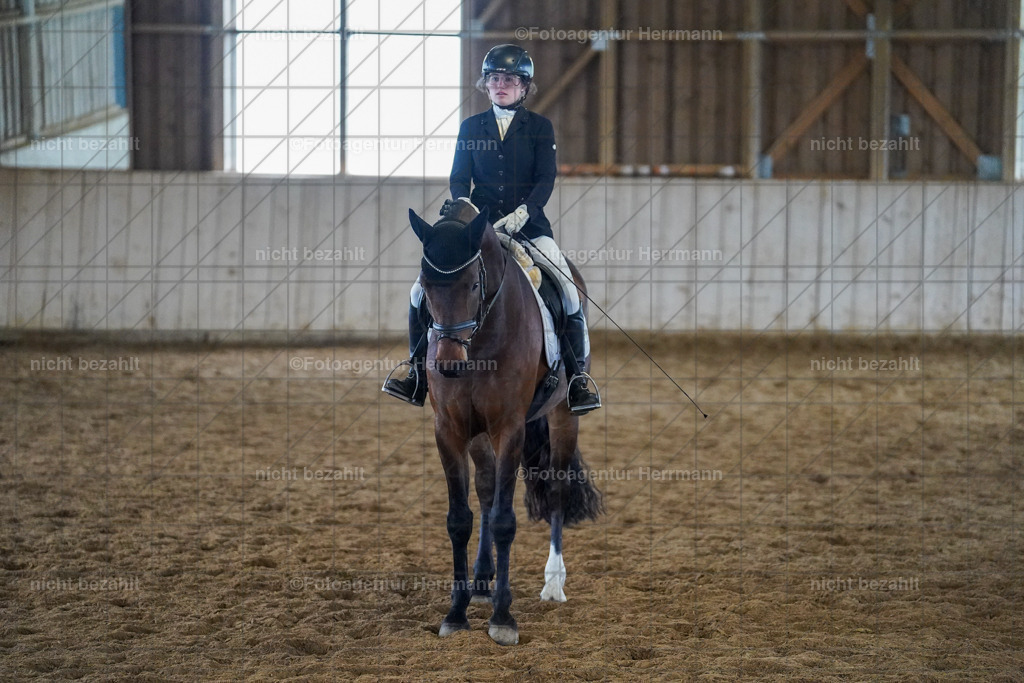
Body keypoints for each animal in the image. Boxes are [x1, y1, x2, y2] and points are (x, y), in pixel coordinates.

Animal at [405, 203, 604, 646]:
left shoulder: (510, 428)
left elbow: (504, 520)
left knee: (557, 490)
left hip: (563, 417)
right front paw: (457, 612)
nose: (448, 364)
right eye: (426, 286)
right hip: (479, 435)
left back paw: (553, 583)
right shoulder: (449, 430)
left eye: (472, 286)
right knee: (486, 488)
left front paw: (502, 618)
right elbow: (460, 518)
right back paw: (481, 581)